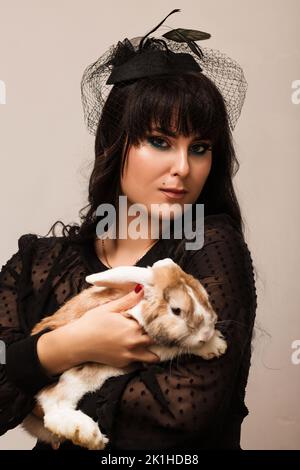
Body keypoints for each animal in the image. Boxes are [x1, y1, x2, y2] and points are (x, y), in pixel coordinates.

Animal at [21, 258, 227, 450]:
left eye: (206, 297)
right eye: (176, 310)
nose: (206, 333)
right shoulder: (148, 345)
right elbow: (177, 347)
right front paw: (216, 345)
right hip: (75, 377)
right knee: (52, 403)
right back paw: (89, 435)